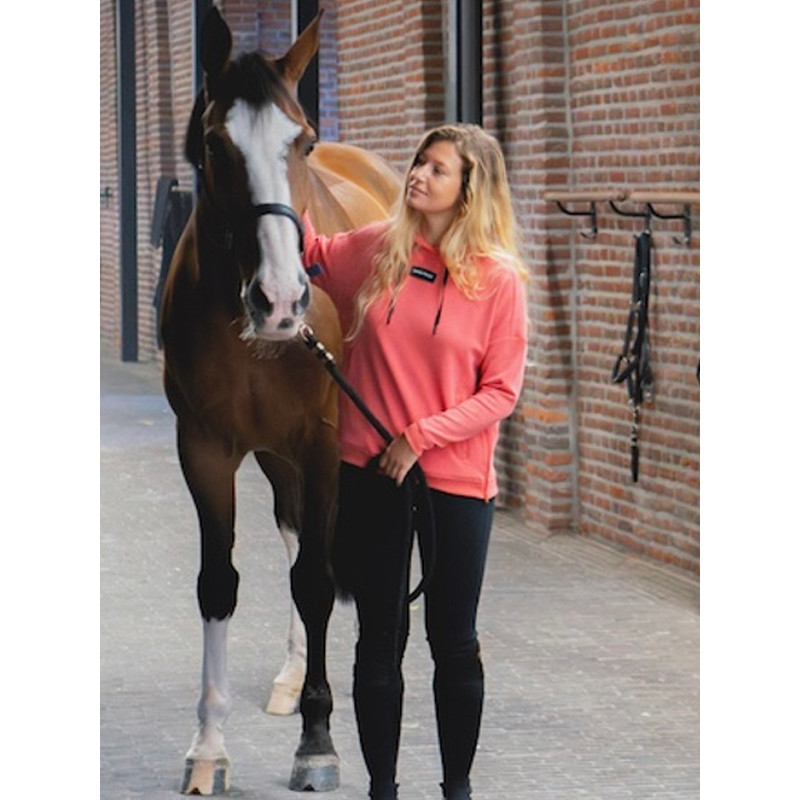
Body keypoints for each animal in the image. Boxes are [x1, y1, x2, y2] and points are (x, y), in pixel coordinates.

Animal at [159, 7, 401, 794]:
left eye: (303, 141)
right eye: (215, 143)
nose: (281, 299)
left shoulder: (324, 438)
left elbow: (319, 582)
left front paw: (319, 744)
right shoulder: (205, 446)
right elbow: (219, 584)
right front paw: (208, 749)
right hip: (273, 454)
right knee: (297, 533)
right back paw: (295, 678)